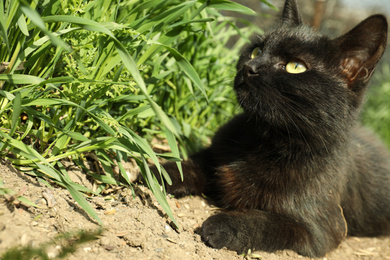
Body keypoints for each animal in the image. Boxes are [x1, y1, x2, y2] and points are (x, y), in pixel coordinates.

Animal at [145, 0, 388, 256]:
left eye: (295, 67)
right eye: (257, 51)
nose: (250, 66)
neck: (264, 140)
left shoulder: (321, 232)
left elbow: (268, 221)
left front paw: (226, 226)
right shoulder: (216, 152)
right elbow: (193, 164)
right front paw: (160, 173)